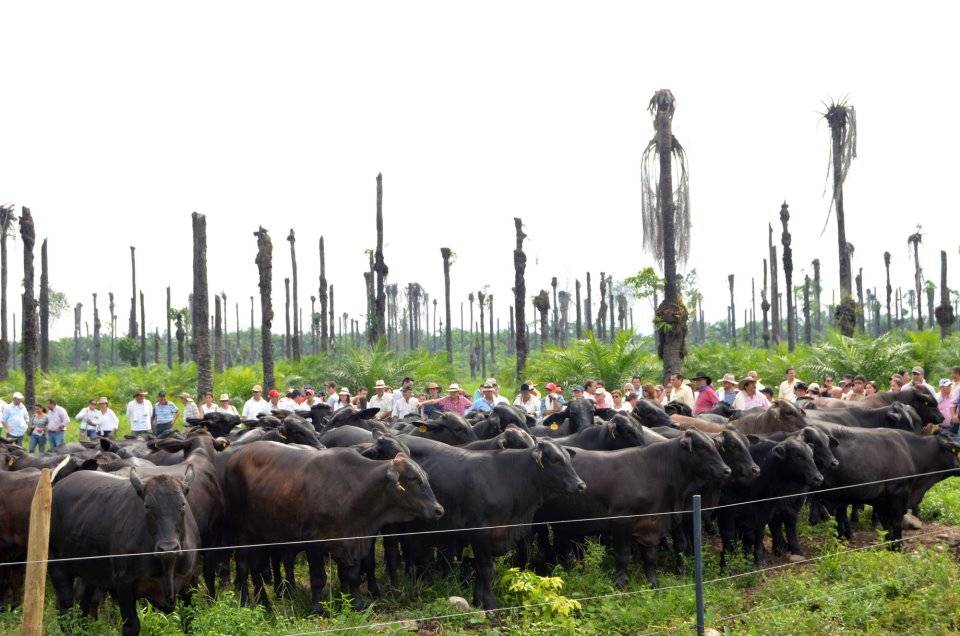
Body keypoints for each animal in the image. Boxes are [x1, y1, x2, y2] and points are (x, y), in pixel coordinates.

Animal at [50, 468, 199, 636]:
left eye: (182, 504)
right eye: (147, 506)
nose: (168, 548)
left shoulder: (190, 583)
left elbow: (189, 620)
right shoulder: (123, 584)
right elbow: (131, 626)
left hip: (89, 573)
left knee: (83, 603)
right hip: (57, 566)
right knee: (65, 607)